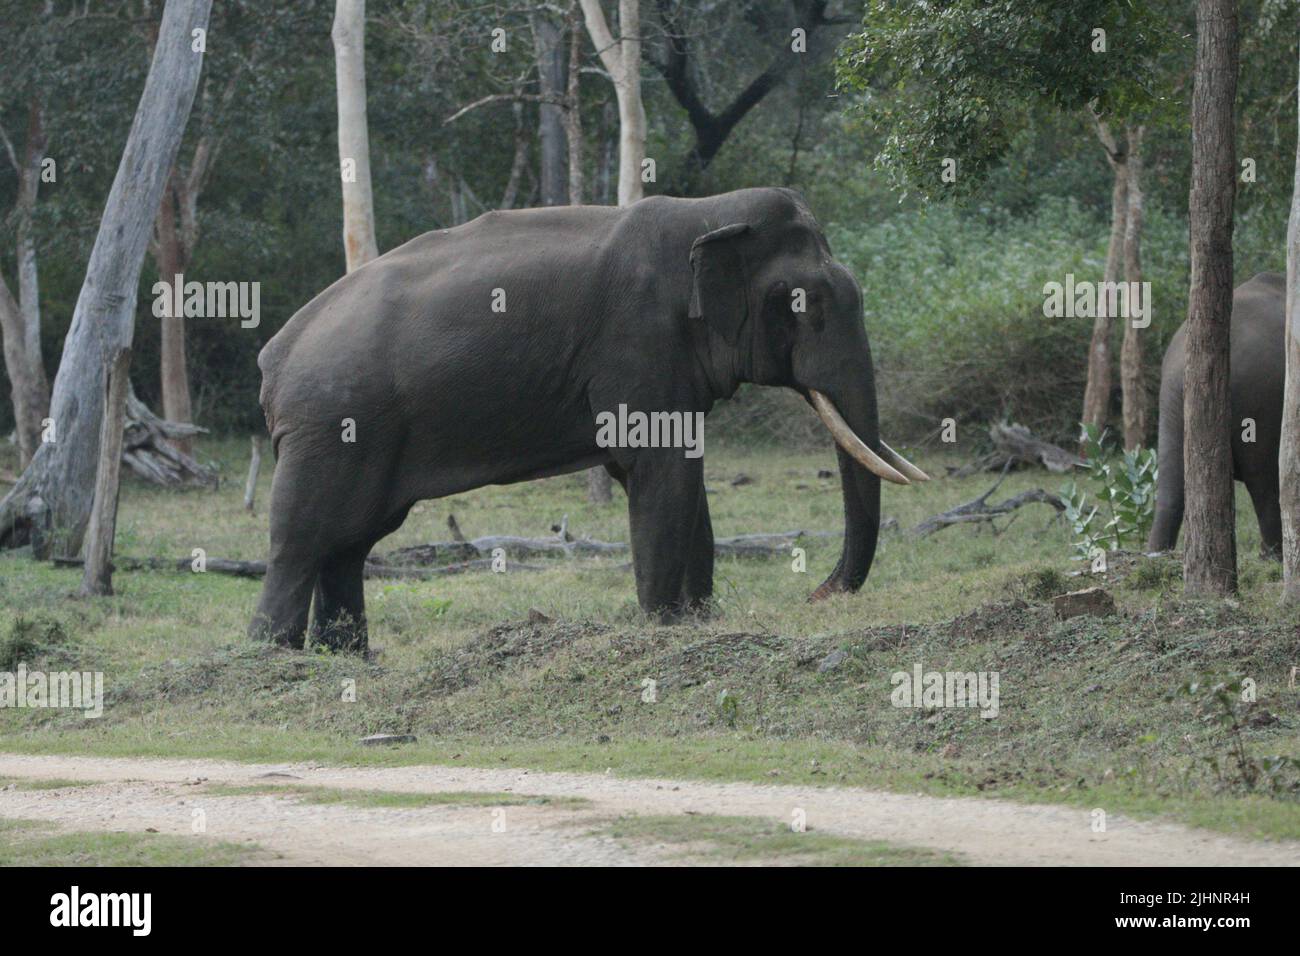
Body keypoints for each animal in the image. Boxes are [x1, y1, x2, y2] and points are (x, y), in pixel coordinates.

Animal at [250, 187, 925, 650]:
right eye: (804, 303)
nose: (817, 595)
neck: (706, 214)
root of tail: (274, 357)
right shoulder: (638, 343)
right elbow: (660, 474)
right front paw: (663, 627)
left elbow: (682, 481)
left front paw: (699, 623)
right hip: (332, 426)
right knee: (302, 541)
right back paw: (276, 660)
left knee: (349, 543)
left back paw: (349, 661)